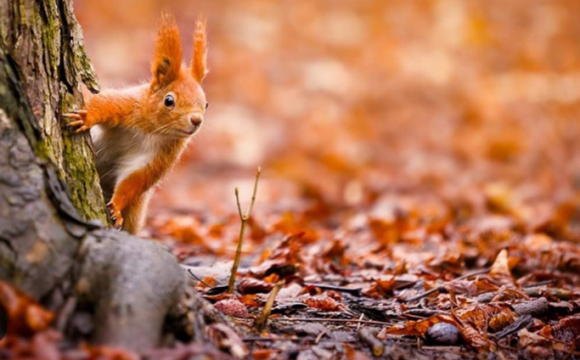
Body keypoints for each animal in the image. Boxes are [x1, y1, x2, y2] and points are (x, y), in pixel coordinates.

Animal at [64, 13, 208, 233]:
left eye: (206, 104)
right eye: (169, 100)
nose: (196, 120)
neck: (153, 130)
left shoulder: (162, 155)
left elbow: (135, 180)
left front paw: (116, 208)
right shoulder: (127, 107)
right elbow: (103, 104)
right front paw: (86, 117)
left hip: (136, 210)